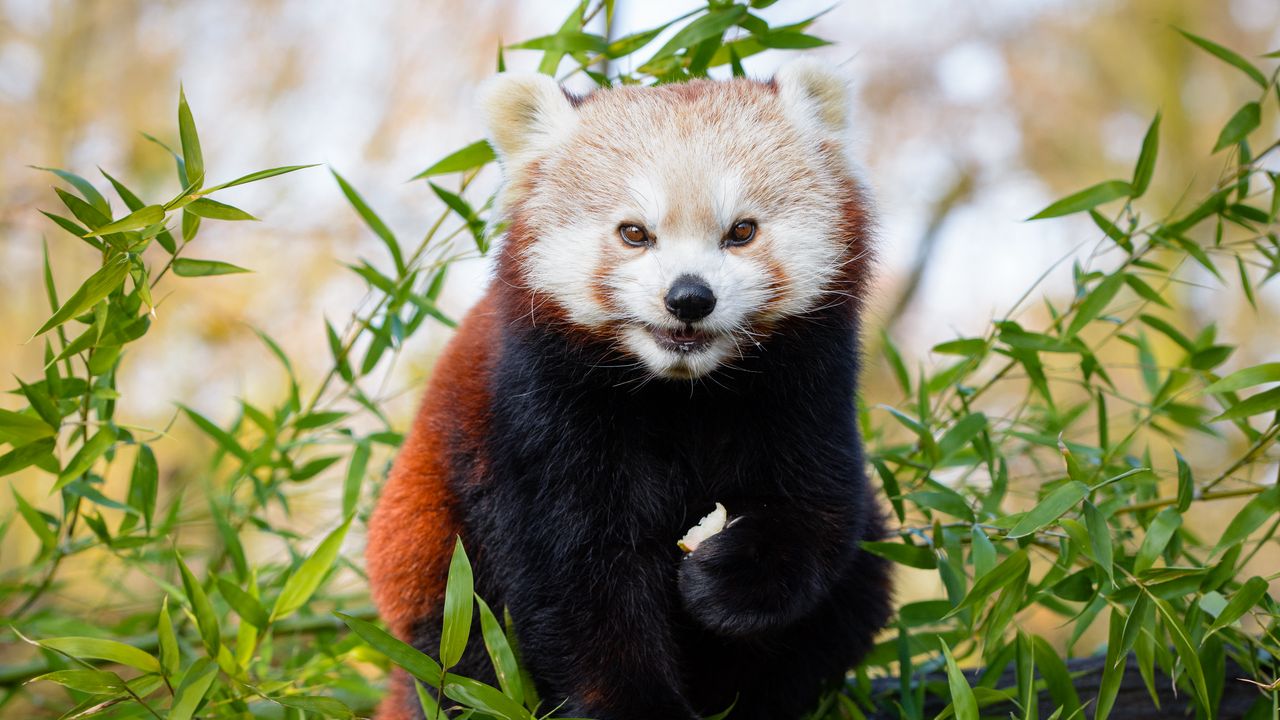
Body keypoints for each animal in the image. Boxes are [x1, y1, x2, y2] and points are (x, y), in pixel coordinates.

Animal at [366, 60, 896, 717]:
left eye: (741, 231)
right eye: (635, 233)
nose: (689, 297)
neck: (682, 394)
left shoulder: (809, 385)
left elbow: (818, 513)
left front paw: (725, 578)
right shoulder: (538, 413)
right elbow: (577, 580)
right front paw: (638, 703)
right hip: (434, 565)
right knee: (464, 651)